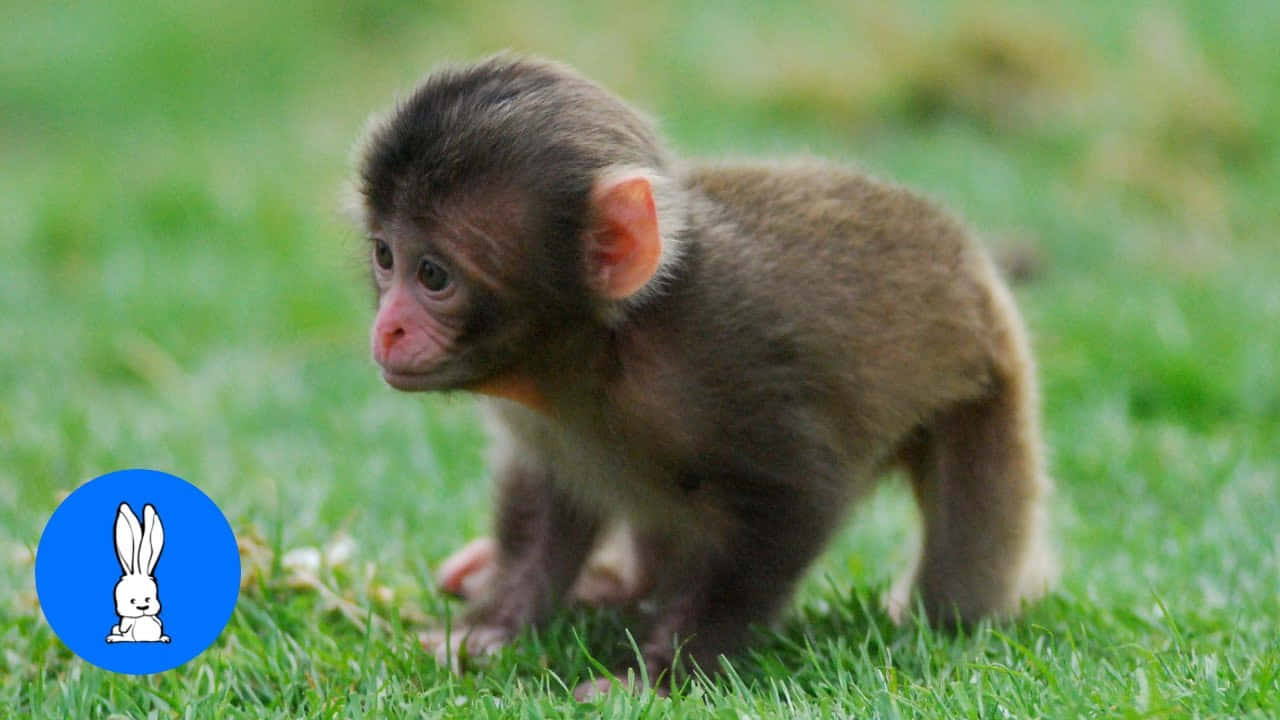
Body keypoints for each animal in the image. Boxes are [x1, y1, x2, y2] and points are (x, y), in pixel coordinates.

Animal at [354, 54, 1055, 699]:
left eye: (434, 275)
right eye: (385, 256)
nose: (387, 328)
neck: (602, 347)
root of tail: (980, 274)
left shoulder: (725, 359)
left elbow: (794, 502)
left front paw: (660, 675)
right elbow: (549, 495)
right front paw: (492, 627)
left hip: (991, 383)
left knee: (959, 576)